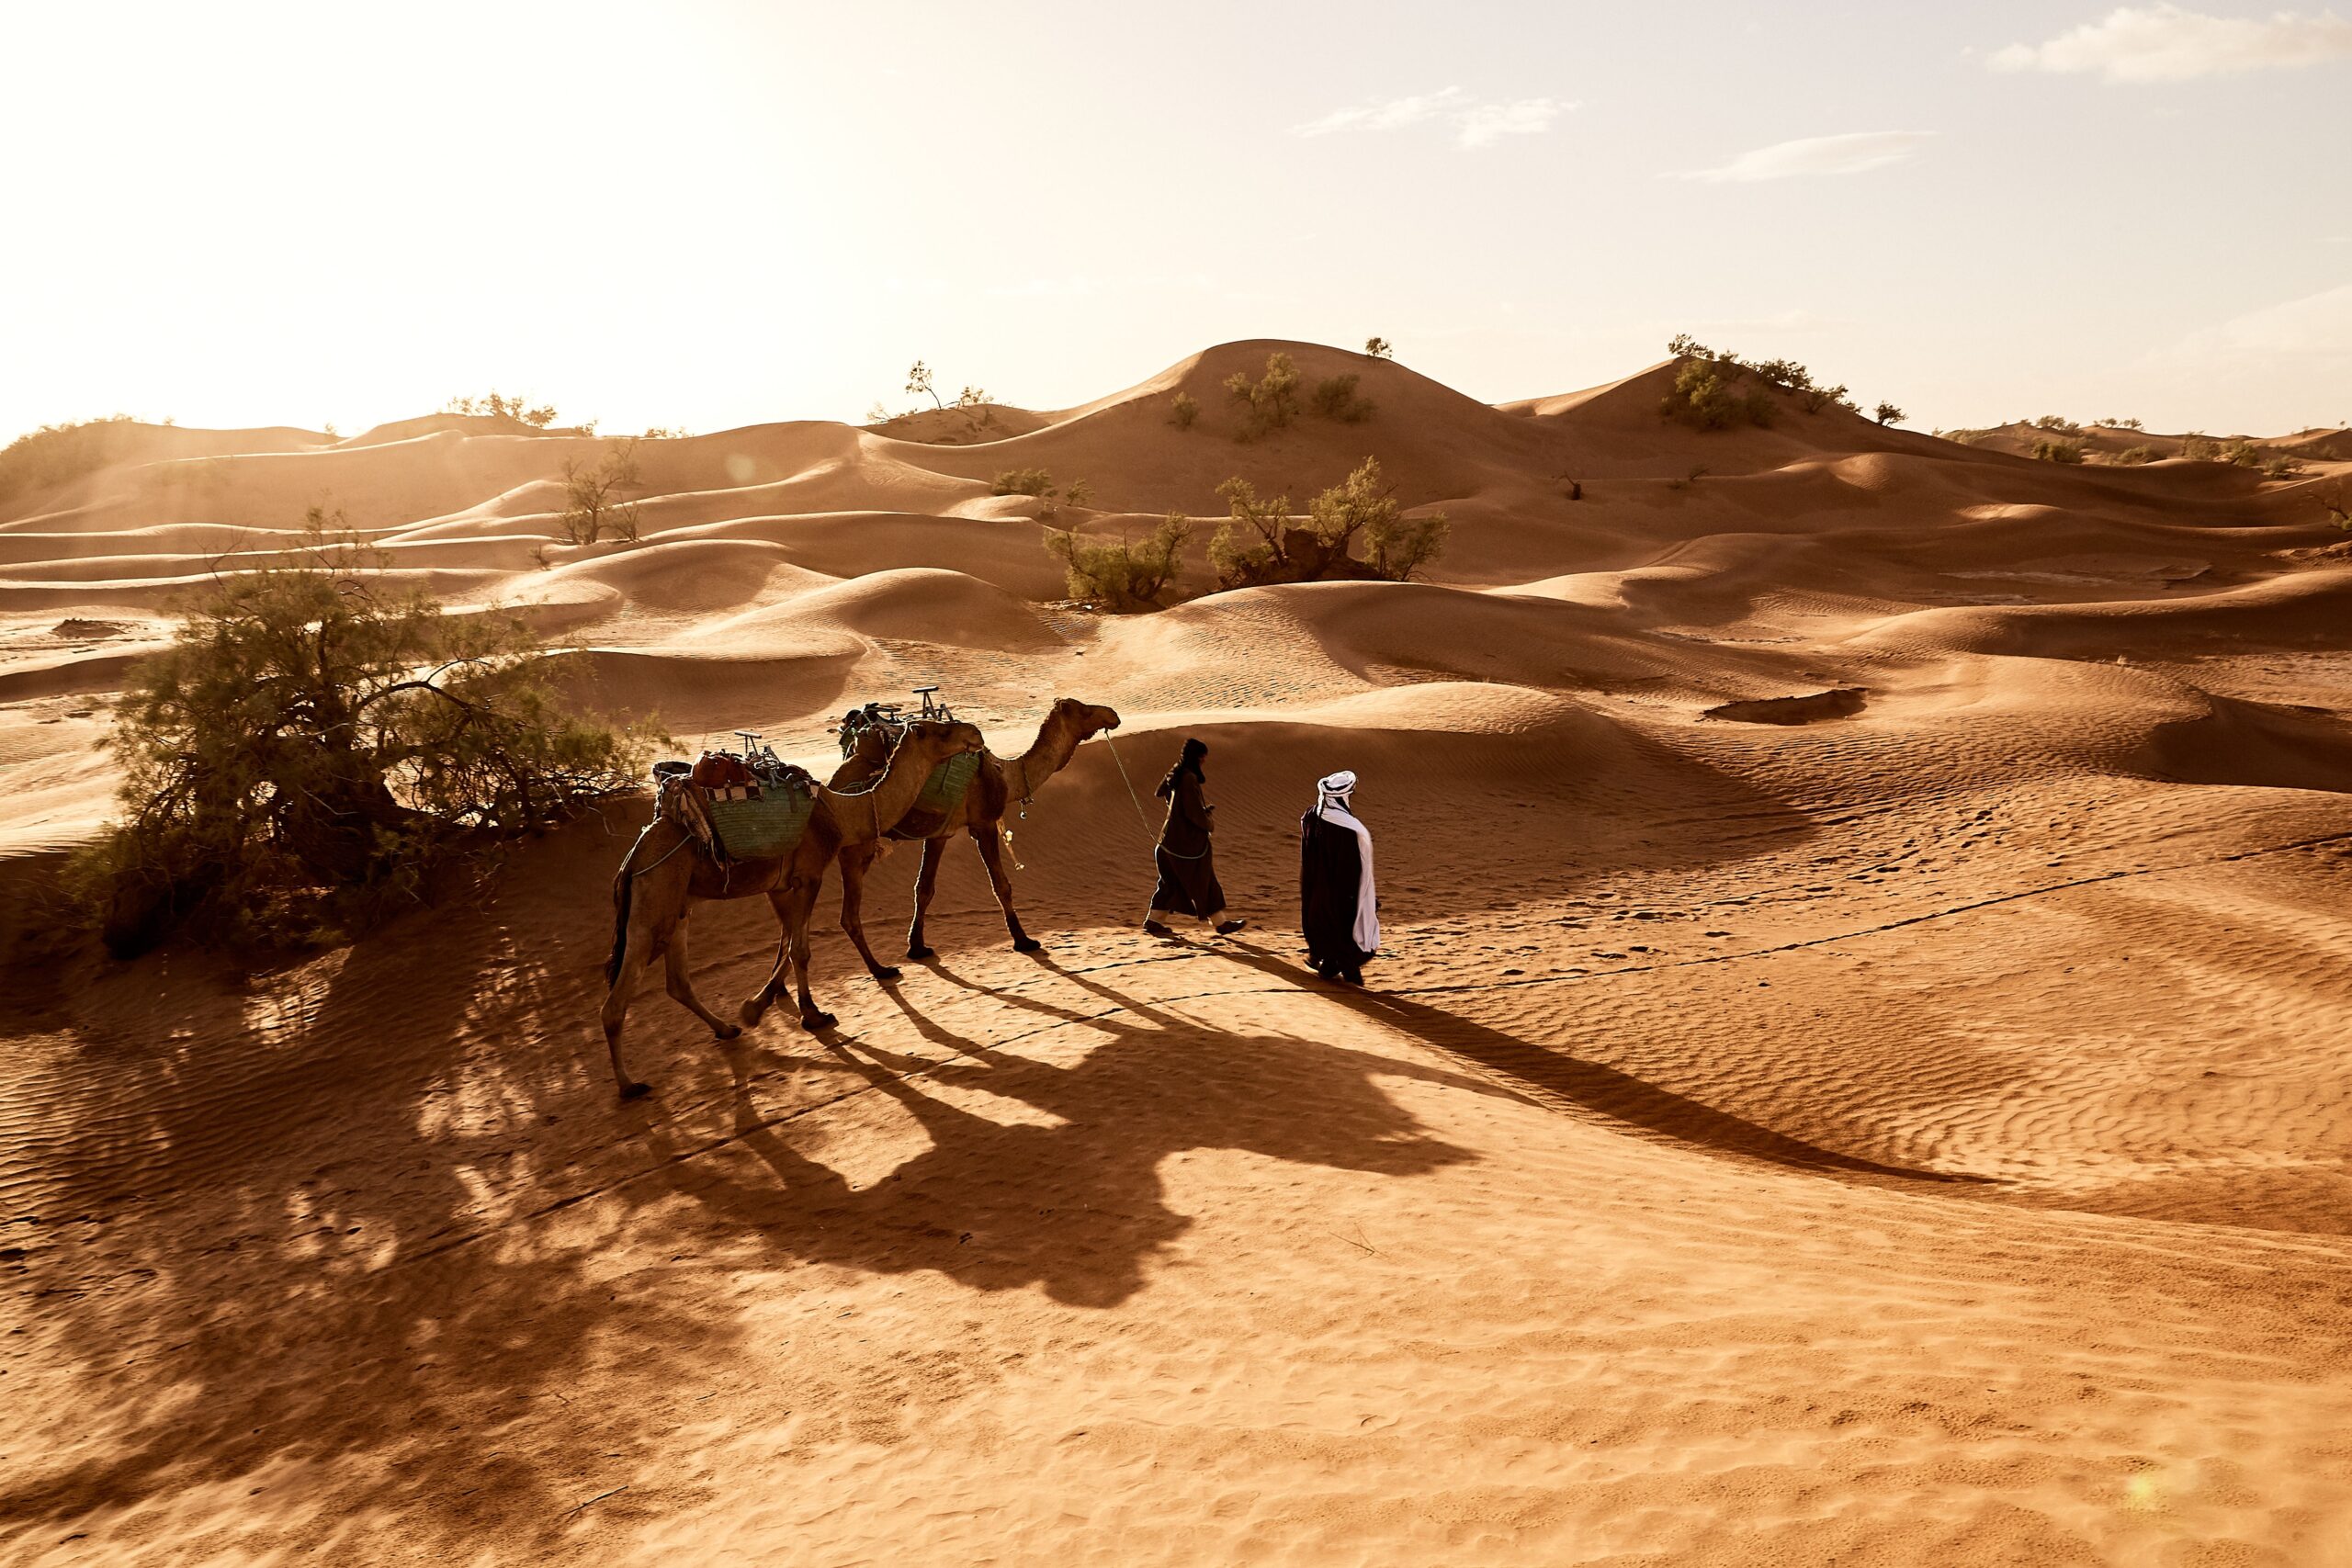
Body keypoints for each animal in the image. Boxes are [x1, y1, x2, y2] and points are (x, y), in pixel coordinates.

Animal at [606, 719, 983, 1100]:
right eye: (941, 731)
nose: (975, 734)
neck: (840, 813)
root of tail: (631, 861)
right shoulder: (808, 876)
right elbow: (800, 949)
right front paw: (812, 1015)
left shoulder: (780, 884)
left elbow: (787, 941)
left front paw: (759, 1006)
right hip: (653, 902)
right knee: (616, 1002)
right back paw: (629, 1085)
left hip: (678, 907)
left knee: (678, 982)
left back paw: (726, 1029)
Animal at [828, 695, 1119, 973]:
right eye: (1085, 710)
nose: (1113, 715)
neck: (1006, 774)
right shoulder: (984, 823)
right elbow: (1001, 885)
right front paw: (1024, 940)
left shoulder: (940, 834)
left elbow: (924, 888)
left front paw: (917, 947)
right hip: (856, 848)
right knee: (848, 913)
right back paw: (879, 970)